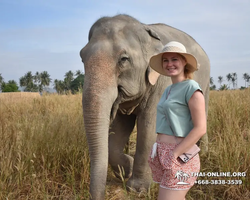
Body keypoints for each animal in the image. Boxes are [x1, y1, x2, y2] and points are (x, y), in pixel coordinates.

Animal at [79, 14, 209, 200]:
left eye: (124, 59)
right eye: (82, 57)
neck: (144, 30)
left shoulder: (162, 81)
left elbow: (149, 127)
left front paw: (137, 190)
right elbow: (119, 128)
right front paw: (126, 169)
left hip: (205, 83)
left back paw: (203, 153)